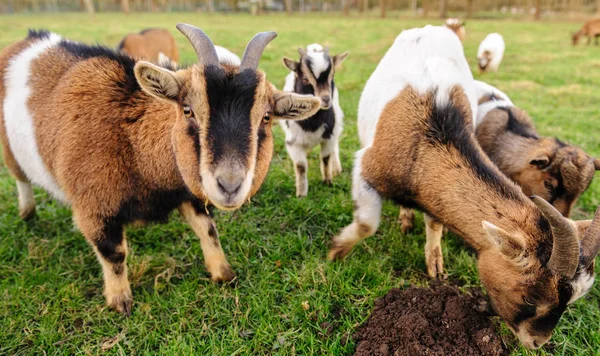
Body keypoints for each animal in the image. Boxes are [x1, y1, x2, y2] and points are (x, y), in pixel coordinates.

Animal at [1, 25, 324, 314]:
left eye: (266, 117)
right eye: (187, 110)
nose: (230, 185)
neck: (131, 141)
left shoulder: (187, 193)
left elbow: (208, 229)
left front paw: (223, 274)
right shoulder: (93, 207)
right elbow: (114, 253)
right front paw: (120, 302)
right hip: (10, 151)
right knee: (21, 179)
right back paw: (27, 213)